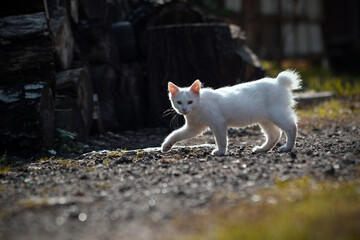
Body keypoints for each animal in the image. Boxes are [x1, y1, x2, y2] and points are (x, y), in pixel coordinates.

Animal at [160, 69, 300, 156]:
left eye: (190, 102)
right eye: (179, 102)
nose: (184, 109)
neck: (199, 106)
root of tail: (278, 81)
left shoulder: (218, 123)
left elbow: (221, 140)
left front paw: (221, 152)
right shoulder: (194, 128)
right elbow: (175, 134)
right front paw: (166, 146)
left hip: (276, 114)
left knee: (291, 127)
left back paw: (287, 148)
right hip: (265, 119)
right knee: (275, 134)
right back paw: (262, 149)